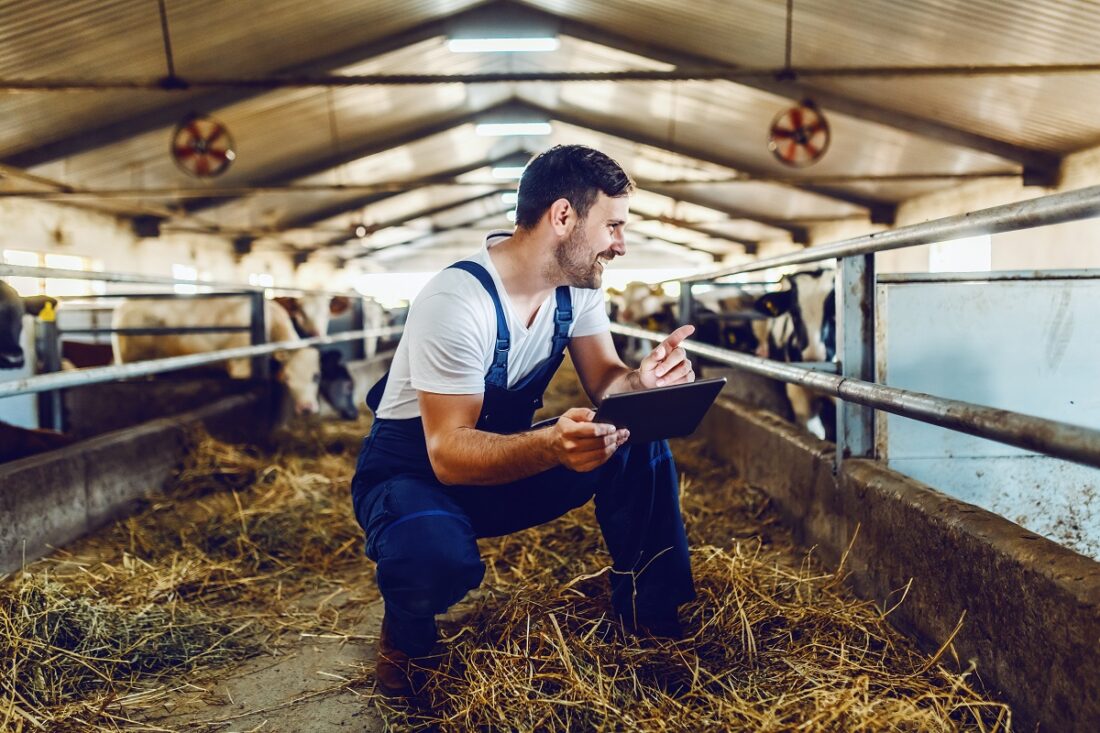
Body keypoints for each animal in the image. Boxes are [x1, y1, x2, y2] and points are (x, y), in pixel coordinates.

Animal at [114, 294, 321, 413]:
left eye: (316, 376)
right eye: (287, 377)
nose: (307, 408)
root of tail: (124, 305)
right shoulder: (241, 364)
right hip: (128, 362)